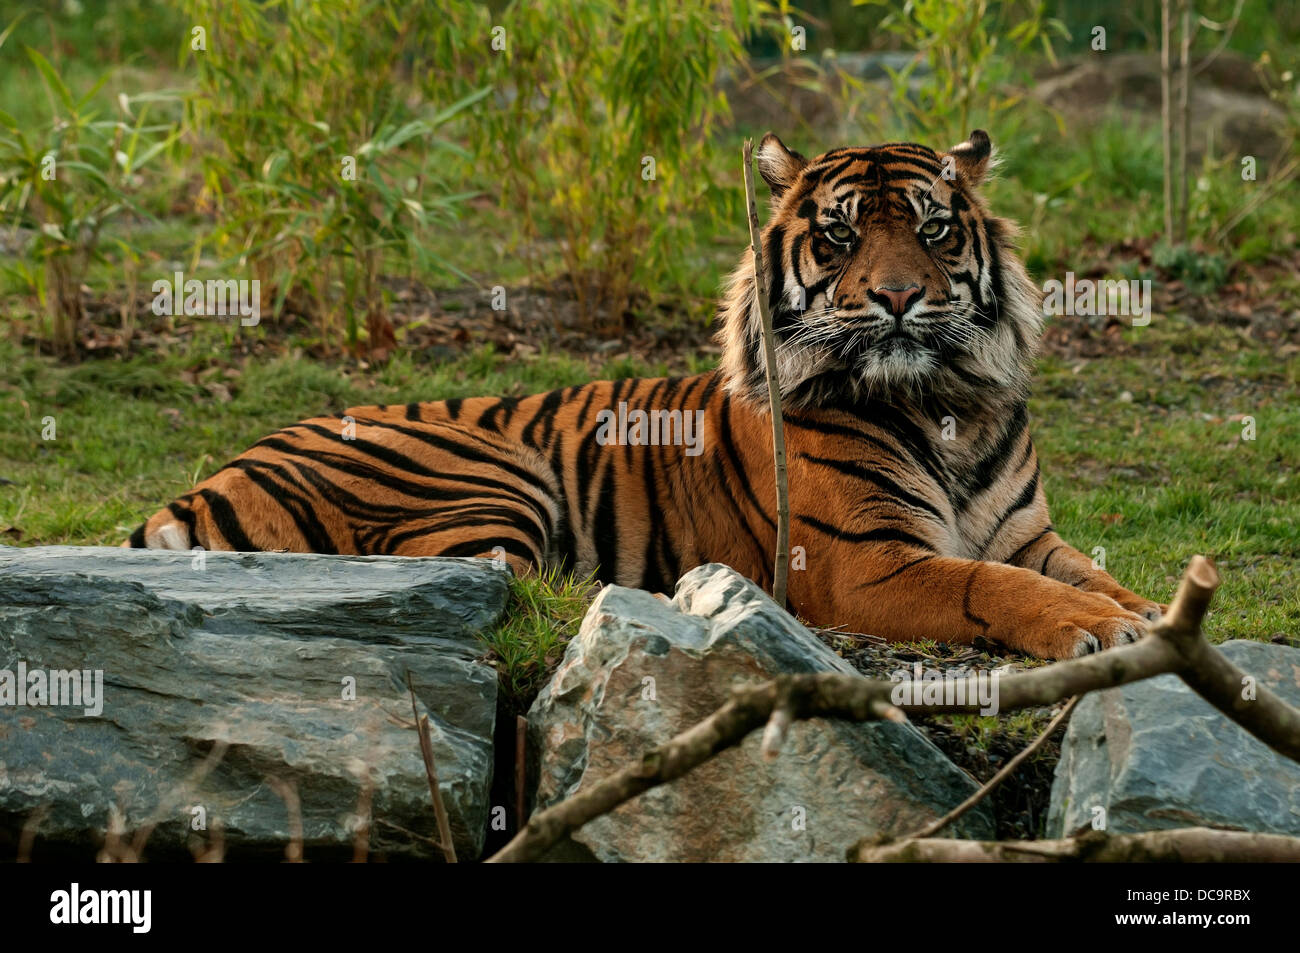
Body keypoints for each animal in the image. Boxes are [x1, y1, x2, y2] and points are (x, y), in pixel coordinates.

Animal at [129, 130, 1170, 657]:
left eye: (934, 228)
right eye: (839, 236)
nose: (899, 297)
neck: (945, 402)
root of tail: (210, 476)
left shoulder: (1030, 534)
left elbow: (1091, 574)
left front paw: (1152, 615)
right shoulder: (867, 563)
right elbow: (990, 585)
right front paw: (1096, 627)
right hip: (489, 477)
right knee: (497, 580)